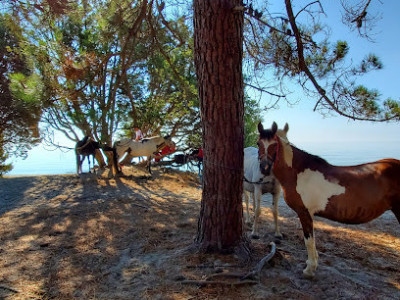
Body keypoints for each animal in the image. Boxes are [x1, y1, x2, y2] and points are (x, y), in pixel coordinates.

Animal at [256, 122, 400, 278]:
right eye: (258, 143)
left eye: (274, 144)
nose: (264, 168)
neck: (298, 173)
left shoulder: (304, 212)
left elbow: (308, 240)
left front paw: (309, 269)